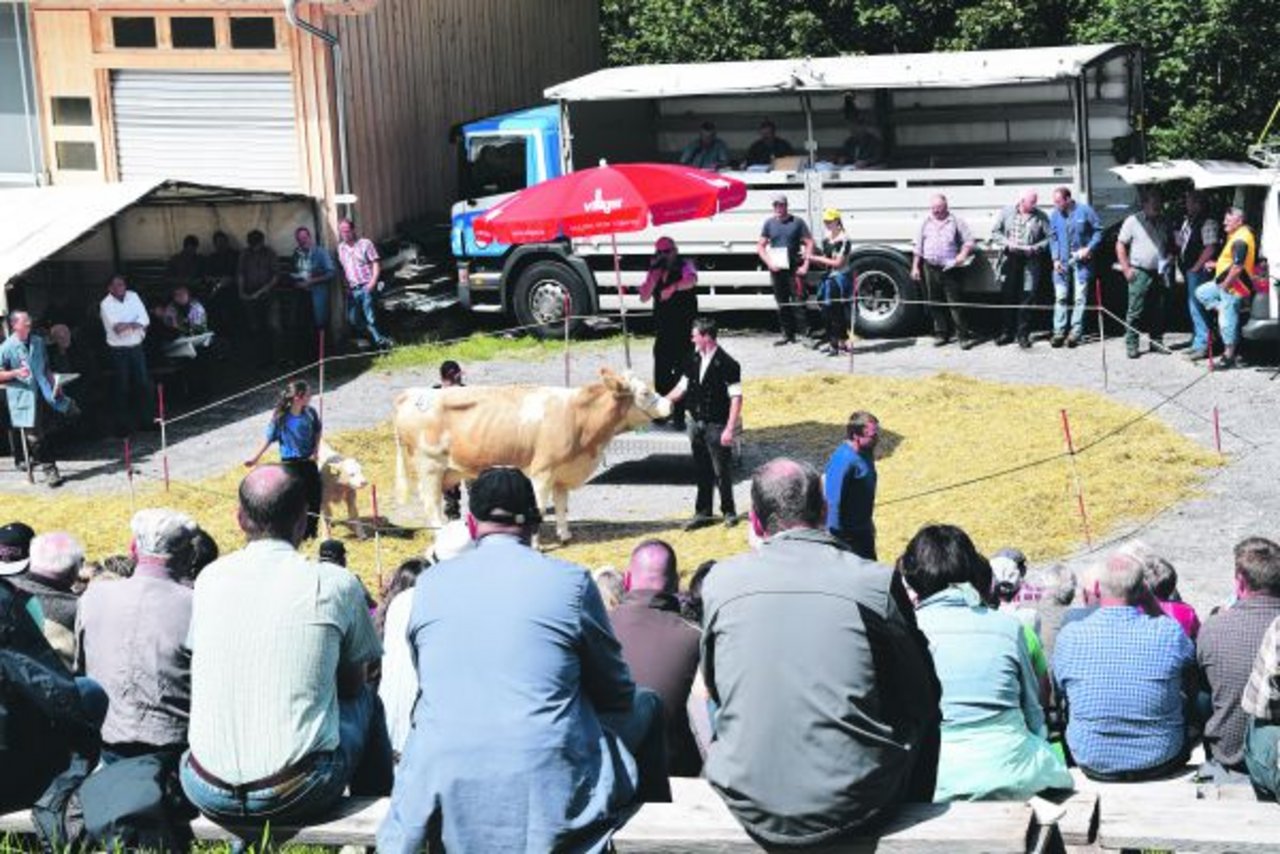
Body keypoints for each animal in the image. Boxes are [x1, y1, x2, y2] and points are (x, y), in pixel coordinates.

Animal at [389, 368, 670, 540]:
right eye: (645, 392)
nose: (670, 403)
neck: (578, 416)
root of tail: (411, 394)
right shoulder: (542, 473)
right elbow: (540, 509)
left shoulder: (561, 473)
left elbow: (561, 505)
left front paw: (565, 535)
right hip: (430, 466)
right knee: (431, 503)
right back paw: (440, 531)